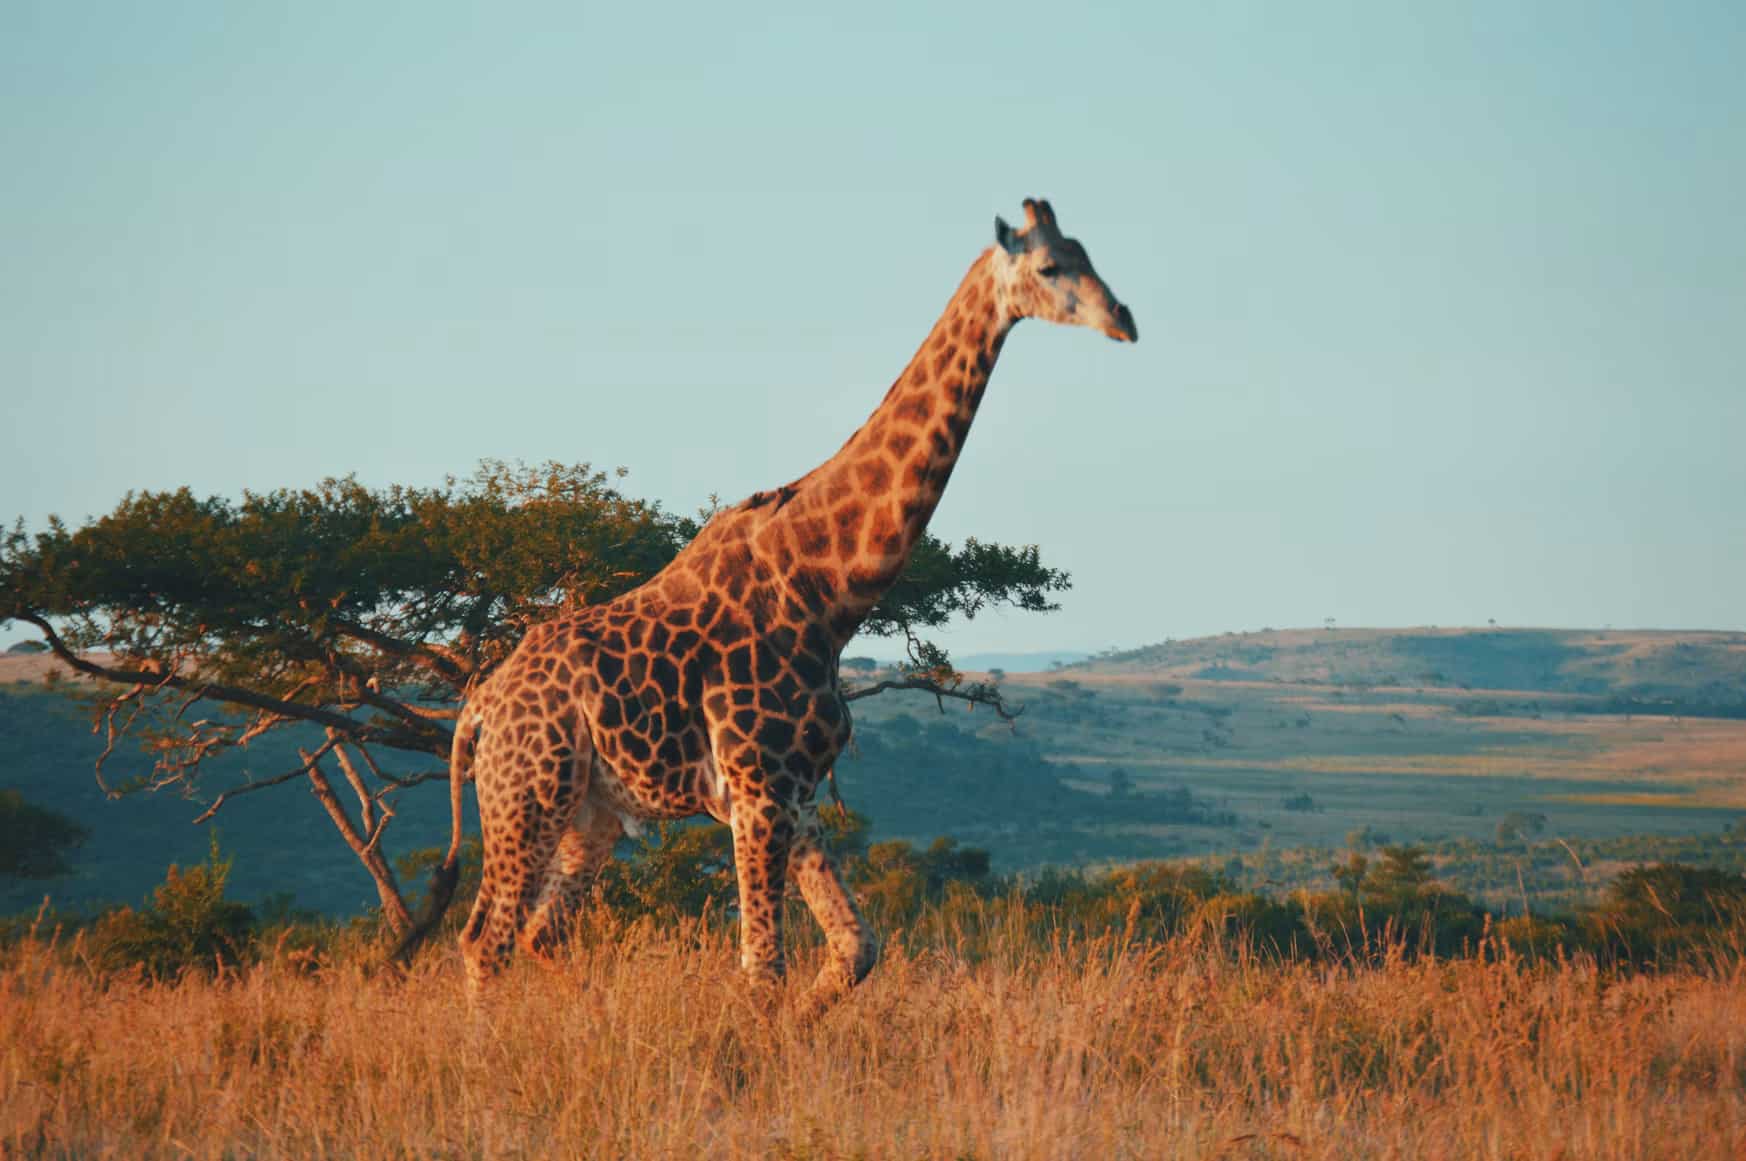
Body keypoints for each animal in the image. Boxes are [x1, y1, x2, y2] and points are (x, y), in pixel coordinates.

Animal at [427, 198, 1136, 1012]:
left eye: (1087, 251)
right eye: (1050, 266)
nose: (1124, 319)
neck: (828, 588)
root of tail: (479, 708)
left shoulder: (793, 794)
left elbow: (857, 948)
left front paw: (806, 1024)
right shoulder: (759, 788)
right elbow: (763, 969)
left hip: (590, 812)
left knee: (542, 933)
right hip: (527, 796)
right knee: (486, 939)